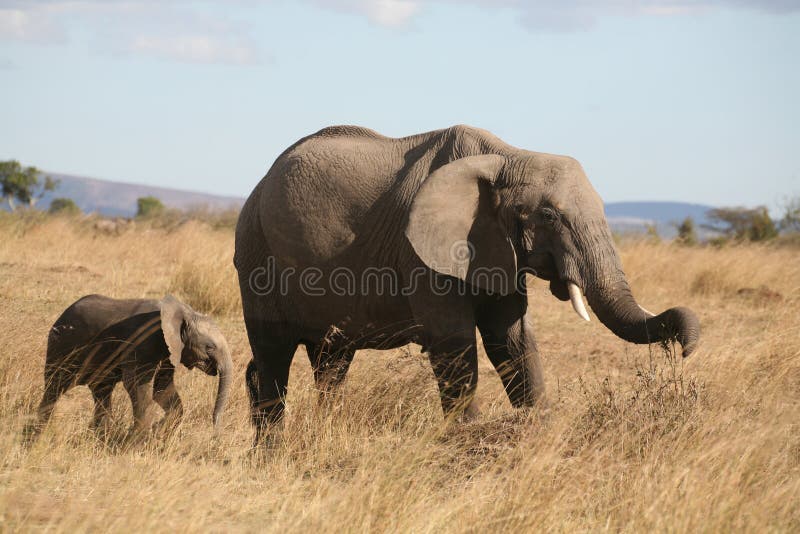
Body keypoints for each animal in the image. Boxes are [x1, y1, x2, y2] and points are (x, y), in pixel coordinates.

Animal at [25, 296, 231, 442]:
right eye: (210, 347)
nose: (215, 435)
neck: (184, 312)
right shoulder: (143, 340)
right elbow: (136, 385)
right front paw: (138, 442)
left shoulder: (170, 349)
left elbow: (162, 388)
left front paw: (157, 431)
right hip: (61, 347)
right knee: (55, 387)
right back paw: (38, 434)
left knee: (101, 391)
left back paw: (100, 437)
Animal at [234, 126, 696, 444]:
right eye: (549, 216)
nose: (685, 350)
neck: (507, 156)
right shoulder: (420, 252)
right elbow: (454, 345)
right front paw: (469, 441)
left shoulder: (499, 248)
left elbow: (512, 339)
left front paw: (539, 430)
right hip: (256, 255)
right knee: (274, 355)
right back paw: (271, 450)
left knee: (330, 361)